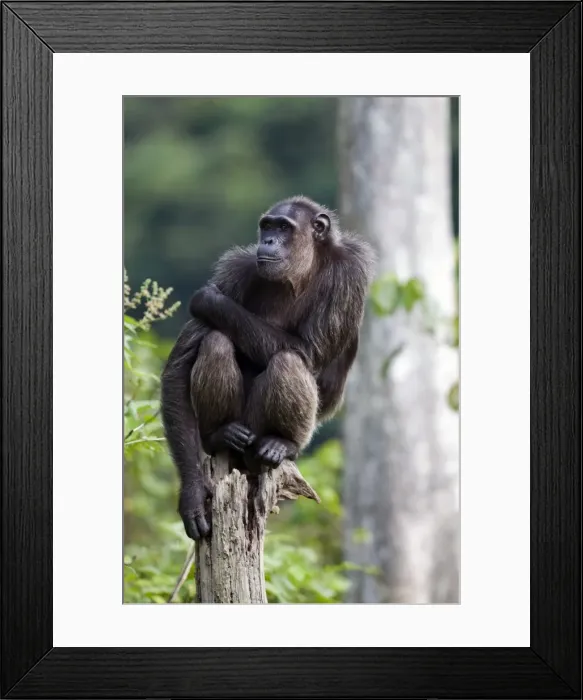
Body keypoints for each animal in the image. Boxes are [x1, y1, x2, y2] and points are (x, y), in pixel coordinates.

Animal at [160, 196, 375, 541]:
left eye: (284, 227)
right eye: (268, 226)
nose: (270, 240)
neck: (303, 271)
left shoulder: (351, 273)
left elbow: (309, 351)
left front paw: (209, 301)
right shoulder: (235, 271)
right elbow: (179, 369)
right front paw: (192, 497)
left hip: (268, 431)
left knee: (288, 359)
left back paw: (281, 444)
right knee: (216, 341)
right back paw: (221, 434)